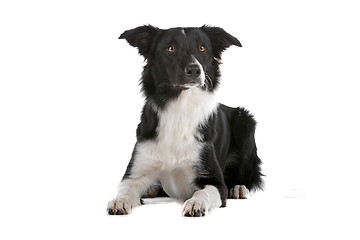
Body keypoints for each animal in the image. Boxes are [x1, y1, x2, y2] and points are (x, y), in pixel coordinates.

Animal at [106, 25, 262, 217]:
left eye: (202, 48)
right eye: (170, 48)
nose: (195, 70)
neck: (180, 108)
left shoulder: (215, 182)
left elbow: (204, 192)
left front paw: (195, 203)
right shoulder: (135, 173)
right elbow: (125, 189)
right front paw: (119, 201)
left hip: (244, 121)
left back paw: (239, 188)